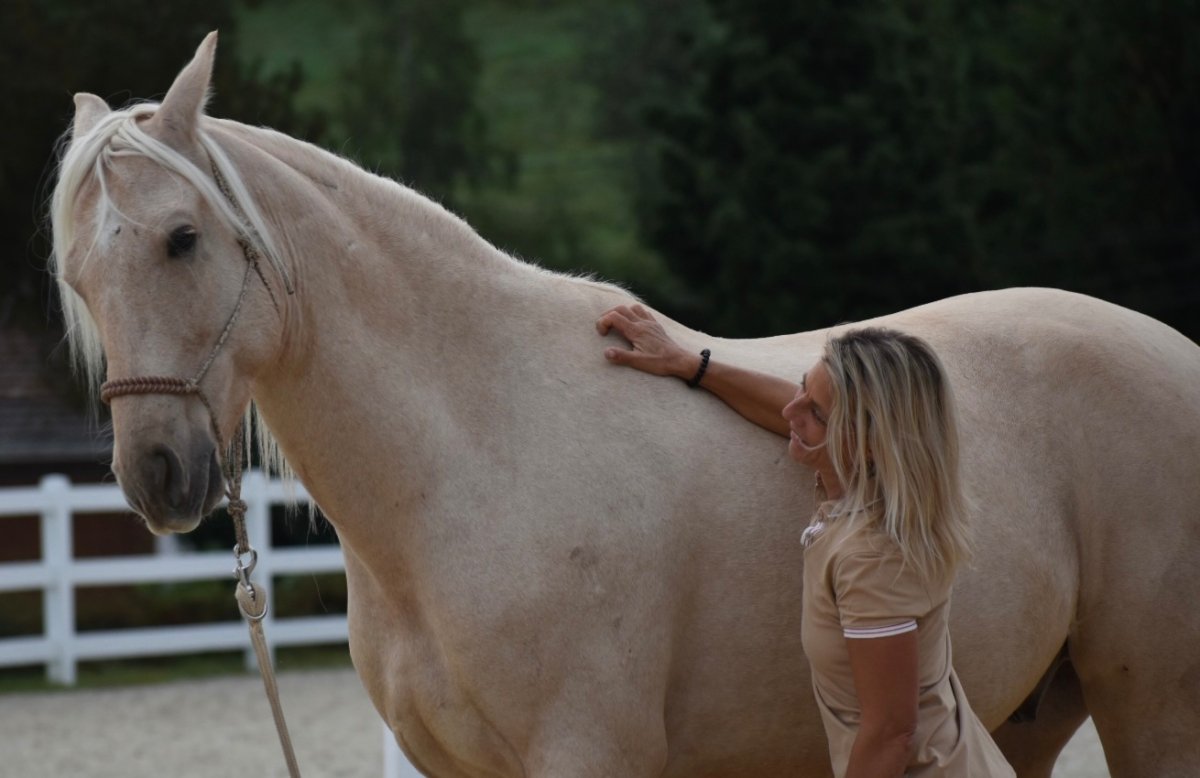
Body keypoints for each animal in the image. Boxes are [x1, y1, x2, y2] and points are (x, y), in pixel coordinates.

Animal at [49, 32, 1200, 777]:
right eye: (76, 276)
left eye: (183, 239)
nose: (157, 475)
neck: (473, 451)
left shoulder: (588, 752)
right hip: (1027, 712)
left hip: (1152, 706)